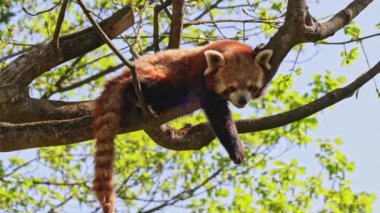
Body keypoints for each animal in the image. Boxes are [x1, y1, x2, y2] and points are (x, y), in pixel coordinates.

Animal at [92, 40, 274, 213]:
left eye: (251, 87)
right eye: (232, 87)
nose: (242, 101)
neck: (226, 46)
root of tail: (126, 71)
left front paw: (259, 48)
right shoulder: (200, 76)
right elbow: (219, 117)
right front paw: (235, 148)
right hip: (156, 74)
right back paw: (135, 96)